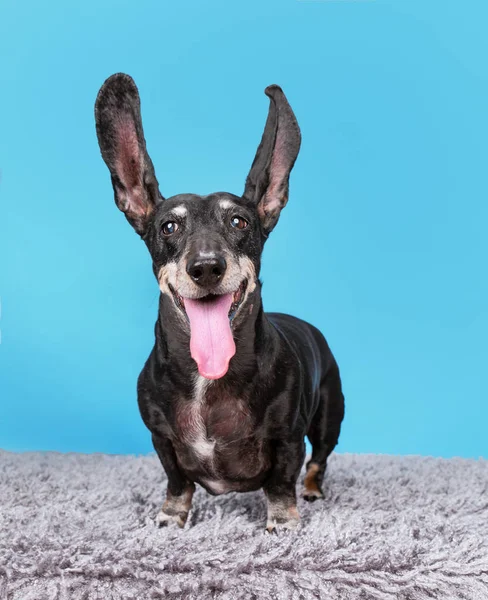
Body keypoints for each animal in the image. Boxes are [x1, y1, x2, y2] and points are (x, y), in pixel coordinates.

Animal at [95, 72, 346, 532]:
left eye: (239, 221)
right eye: (169, 226)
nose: (207, 267)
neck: (208, 381)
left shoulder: (288, 438)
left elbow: (281, 480)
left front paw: (282, 521)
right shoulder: (161, 438)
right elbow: (177, 481)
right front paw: (172, 516)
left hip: (328, 418)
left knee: (318, 461)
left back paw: (312, 490)